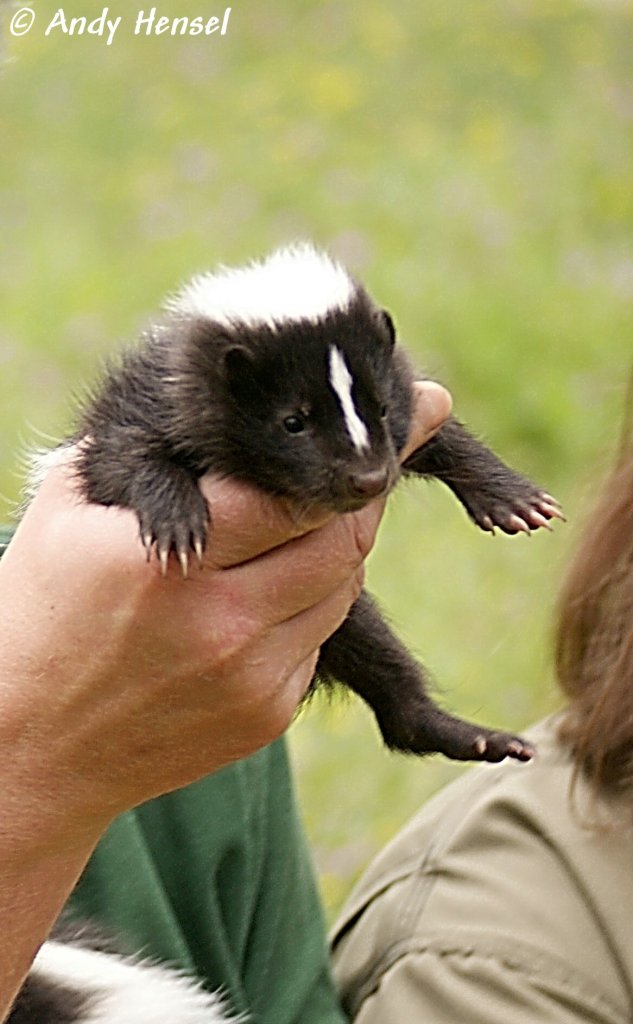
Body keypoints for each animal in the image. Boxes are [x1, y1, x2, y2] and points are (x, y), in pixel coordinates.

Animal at [45, 243, 557, 765]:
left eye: (382, 408)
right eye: (293, 421)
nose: (368, 478)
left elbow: (439, 435)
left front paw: (512, 497)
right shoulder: (148, 408)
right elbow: (123, 458)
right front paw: (177, 524)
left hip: (348, 619)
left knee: (390, 682)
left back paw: (471, 736)